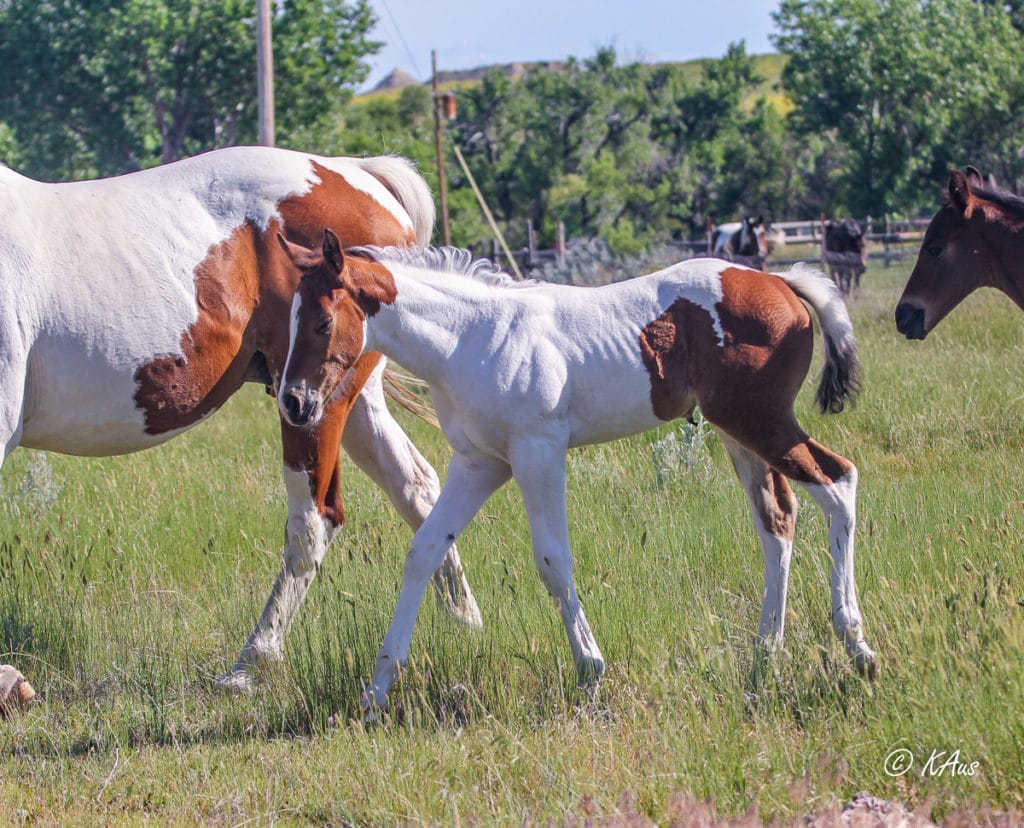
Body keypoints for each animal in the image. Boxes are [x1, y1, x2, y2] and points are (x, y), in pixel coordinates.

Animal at [0, 145, 483, 687]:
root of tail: (354, 171)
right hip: (351, 404)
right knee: (417, 489)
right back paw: (464, 623)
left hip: (313, 406)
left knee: (314, 521)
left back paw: (254, 660)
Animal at [280, 232, 880, 712]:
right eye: (288, 321)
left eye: (323, 321)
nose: (294, 404)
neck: (472, 338)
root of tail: (780, 282)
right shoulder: (480, 464)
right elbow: (424, 551)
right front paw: (377, 690)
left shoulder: (538, 453)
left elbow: (552, 560)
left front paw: (590, 672)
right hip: (740, 433)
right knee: (777, 520)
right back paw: (764, 657)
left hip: (762, 422)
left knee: (839, 482)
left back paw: (857, 646)